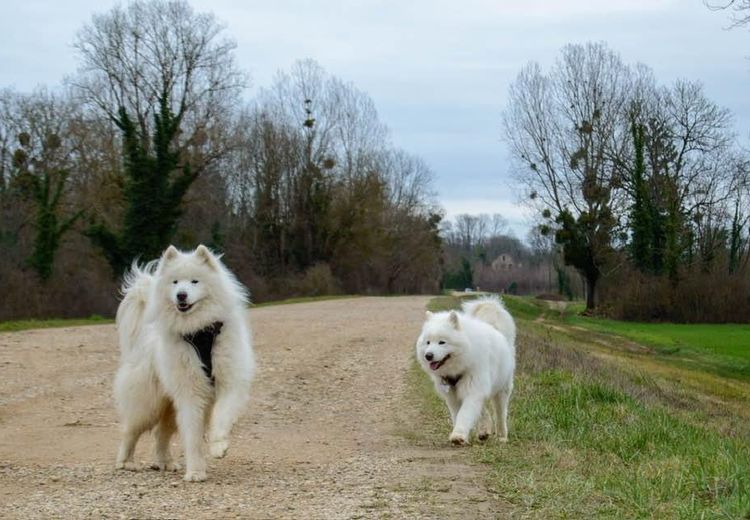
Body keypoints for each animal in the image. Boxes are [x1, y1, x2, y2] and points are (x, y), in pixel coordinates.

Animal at [114, 246, 256, 482]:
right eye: (175, 282)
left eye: (194, 281)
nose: (181, 294)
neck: (198, 331)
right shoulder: (190, 394)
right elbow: (192, 437)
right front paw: (196, 472)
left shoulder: (229, 383)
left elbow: (221, 416)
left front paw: (218, 447)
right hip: (149, 405)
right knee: (130, 431)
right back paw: (125, 462)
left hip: (169, 408)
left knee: (160, 434)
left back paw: (166, 463)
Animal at [418, 294, 516, 444]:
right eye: (428, 342)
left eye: (442, 342)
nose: (428, 356)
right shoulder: (453, 395)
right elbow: (458, 414)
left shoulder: (472, 389)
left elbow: (465, 414)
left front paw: (458, 435)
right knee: (483, 410)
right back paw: (484, 431)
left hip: (501, 389)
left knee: (500, 413)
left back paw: (502, 436)